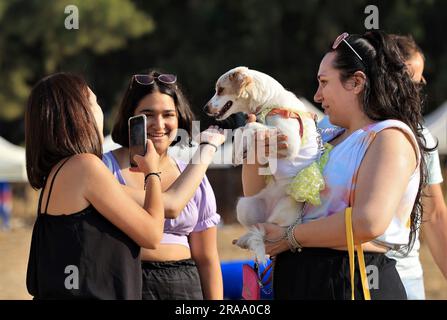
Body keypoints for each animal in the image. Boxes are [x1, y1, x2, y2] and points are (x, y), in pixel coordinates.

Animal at [205, 67, 324, 262]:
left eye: (220, 90)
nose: (205, 108)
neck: (269, 101)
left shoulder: (288, 141)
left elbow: (250, 126)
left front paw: (239, 150)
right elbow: (242, 129)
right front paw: (237, 153)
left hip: (283, 212)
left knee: (272, 232)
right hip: (244, 206)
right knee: (256, 227)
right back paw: (246, 239)